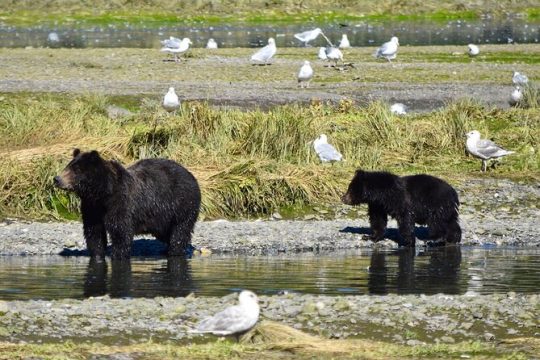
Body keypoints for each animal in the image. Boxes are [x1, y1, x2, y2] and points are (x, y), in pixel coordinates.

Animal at [53, 149, 201, 258]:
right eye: (68, 166)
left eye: (76, 170)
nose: (57, 179)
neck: (102, 194)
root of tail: (191, 175)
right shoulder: (91, 208)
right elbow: (94, 233)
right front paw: (97, 254)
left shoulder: (122, 204)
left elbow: (121, 232)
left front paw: (117, 254)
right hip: (162, 217)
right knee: (166, 233)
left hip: (182, 204)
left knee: (180, 230)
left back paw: (175, 251)